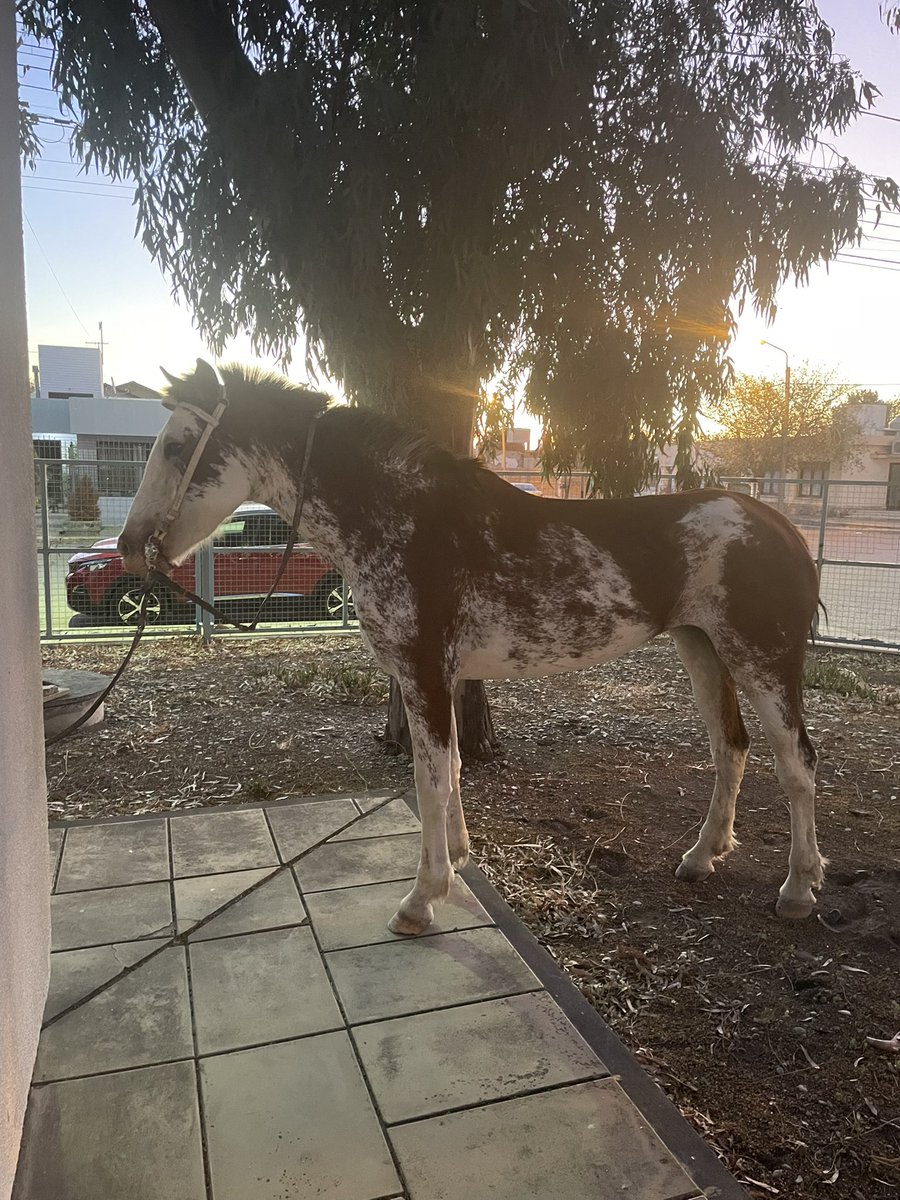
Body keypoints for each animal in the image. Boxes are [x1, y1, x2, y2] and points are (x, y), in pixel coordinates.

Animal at [118, 359, 825, 936]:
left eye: (178, 446)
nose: (128, 548)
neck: (407, 520)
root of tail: (780, 526)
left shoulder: (423, 673)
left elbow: (430, 779)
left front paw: (421, 899)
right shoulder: (444, 677)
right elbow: (453, 767)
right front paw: (456, 861)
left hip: (762, 663)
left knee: (796, 762)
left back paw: (797, 888)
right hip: (702, 651)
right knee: (731, 748)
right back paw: (702, 857)